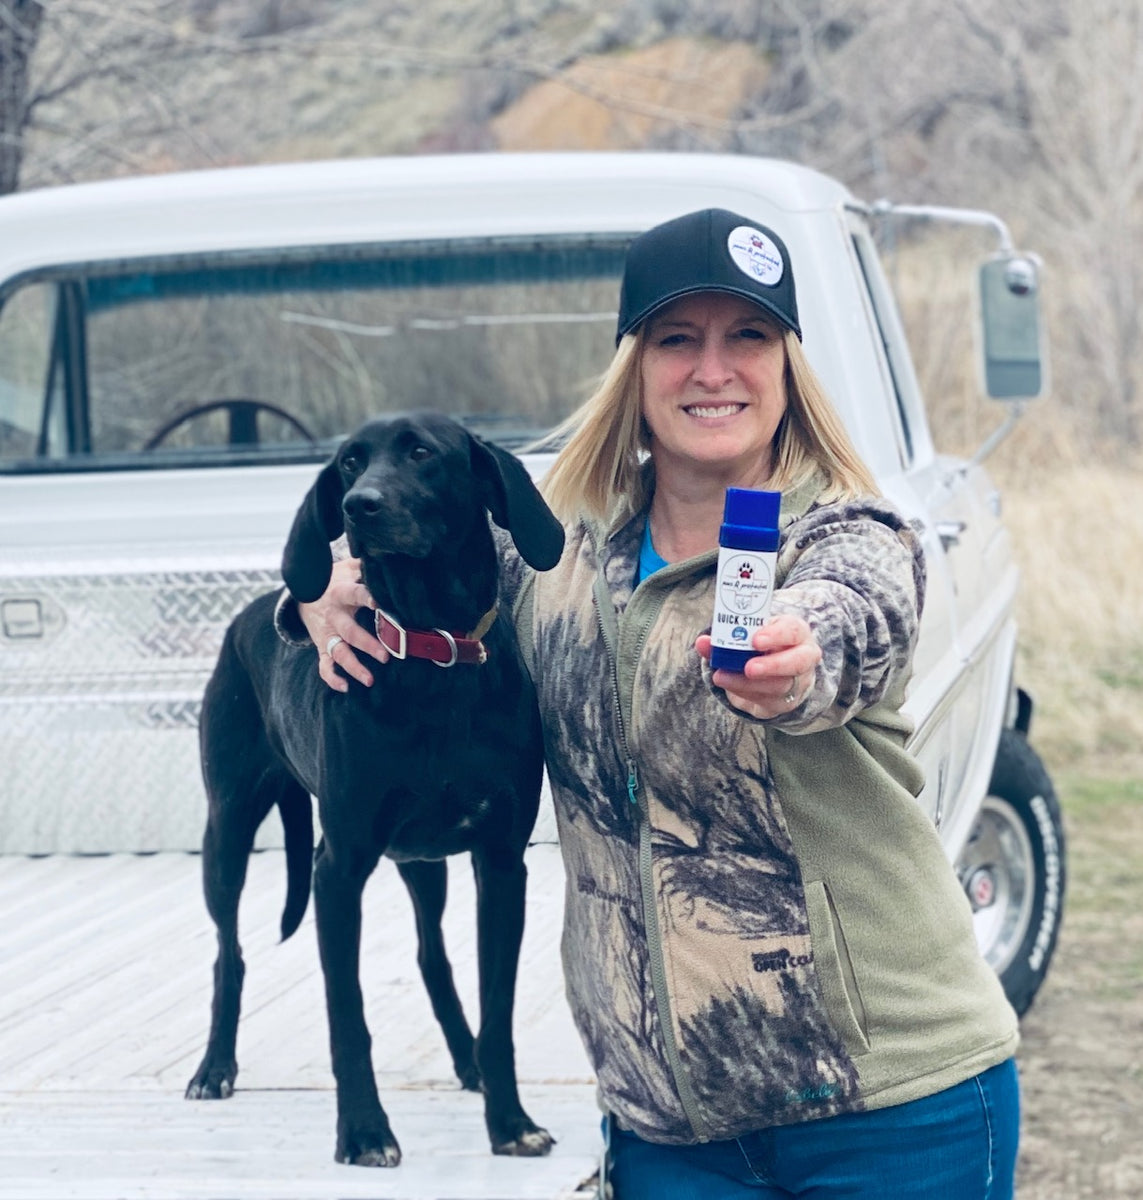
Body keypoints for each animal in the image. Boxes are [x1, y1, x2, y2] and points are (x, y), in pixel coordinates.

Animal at [182, 415, 566, 1171]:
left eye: (422, 452)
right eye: (349, 463)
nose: (359, 506)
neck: (433, 657)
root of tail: (246, 614)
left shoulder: (501, 864)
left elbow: (497, 1009)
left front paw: (509, 1121)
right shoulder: (338, 871)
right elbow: (348, 1019)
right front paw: (362, 1132)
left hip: (422, 862)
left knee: (431, 956)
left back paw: (467, 1063)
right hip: (229, 833)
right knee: (227, 954)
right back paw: (214, 1067)